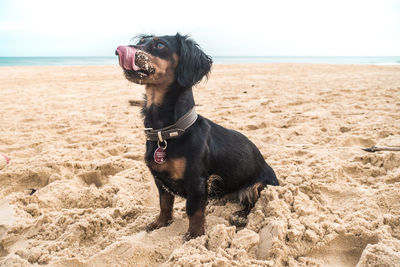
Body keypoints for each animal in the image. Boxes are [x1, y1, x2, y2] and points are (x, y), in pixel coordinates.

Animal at [115, 33, 278, 241]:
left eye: (159, 45)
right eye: (141, 41)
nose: (119, 50)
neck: (167, 132)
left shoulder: (196, 181)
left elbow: (193, 210)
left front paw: (194, 235)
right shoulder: (160, 180)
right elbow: (164, 204)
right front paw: (160, 223)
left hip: (260, 185)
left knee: (253, 203)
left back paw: (240, 215)